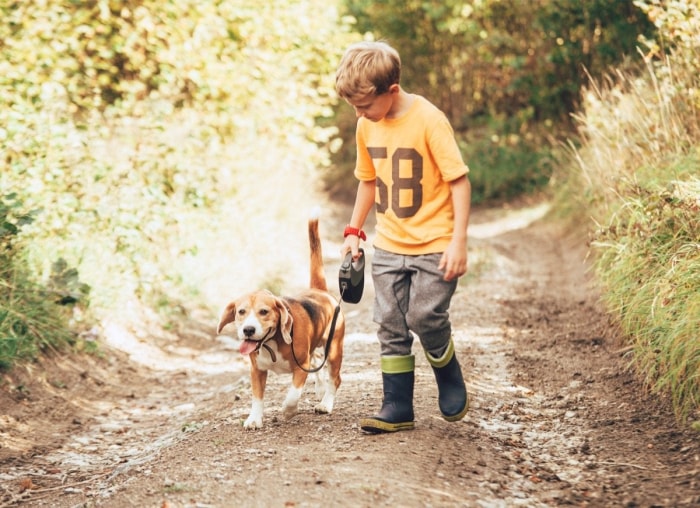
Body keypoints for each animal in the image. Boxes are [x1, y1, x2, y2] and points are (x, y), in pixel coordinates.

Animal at [215, 214, 344, 428]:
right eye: (241, 312)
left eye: (264, 311)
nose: (248, 330)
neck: (272, 342)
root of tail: (320, 291)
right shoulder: (257, 370)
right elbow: (257, 398)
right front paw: (254, 419)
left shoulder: (300, 367)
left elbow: (293, 394)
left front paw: (288, 411)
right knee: (318, 361)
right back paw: (320, 389)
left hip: (334, 350)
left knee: (335, 378)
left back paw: (326, 403)